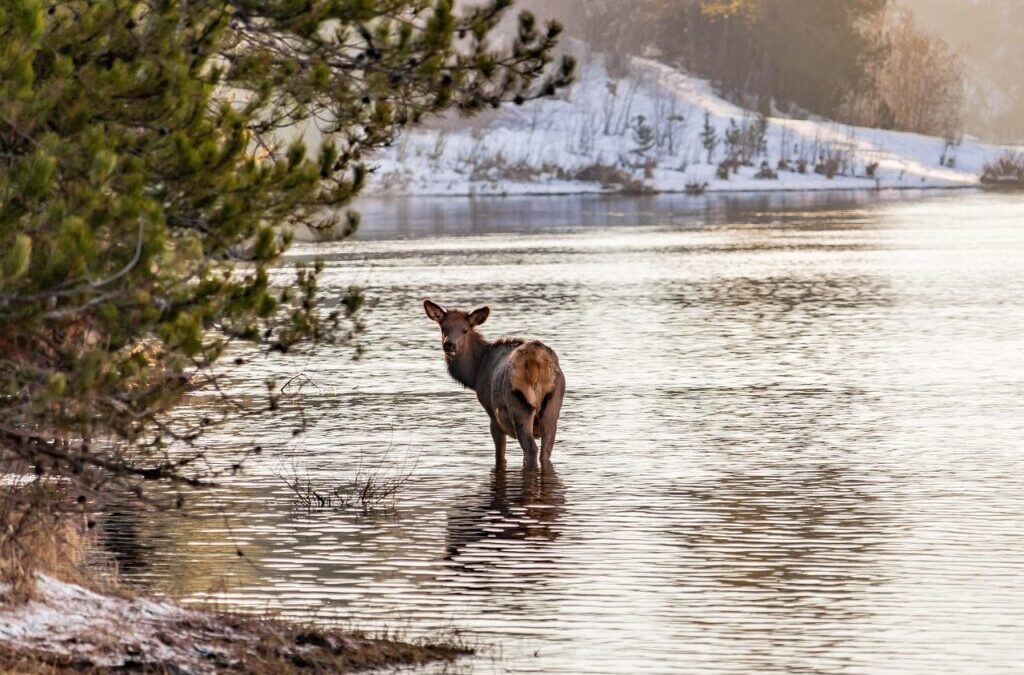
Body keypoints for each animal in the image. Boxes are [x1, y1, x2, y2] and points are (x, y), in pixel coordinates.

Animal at [423, 301, 569, 469]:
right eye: (443, 327)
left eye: (465, 330)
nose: (449, 345)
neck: (475, 374)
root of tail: (536, 362)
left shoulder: (492, 413)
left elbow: (500, 455)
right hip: (553, 404)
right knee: (546, 451)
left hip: (518, 405)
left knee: (531, 449)